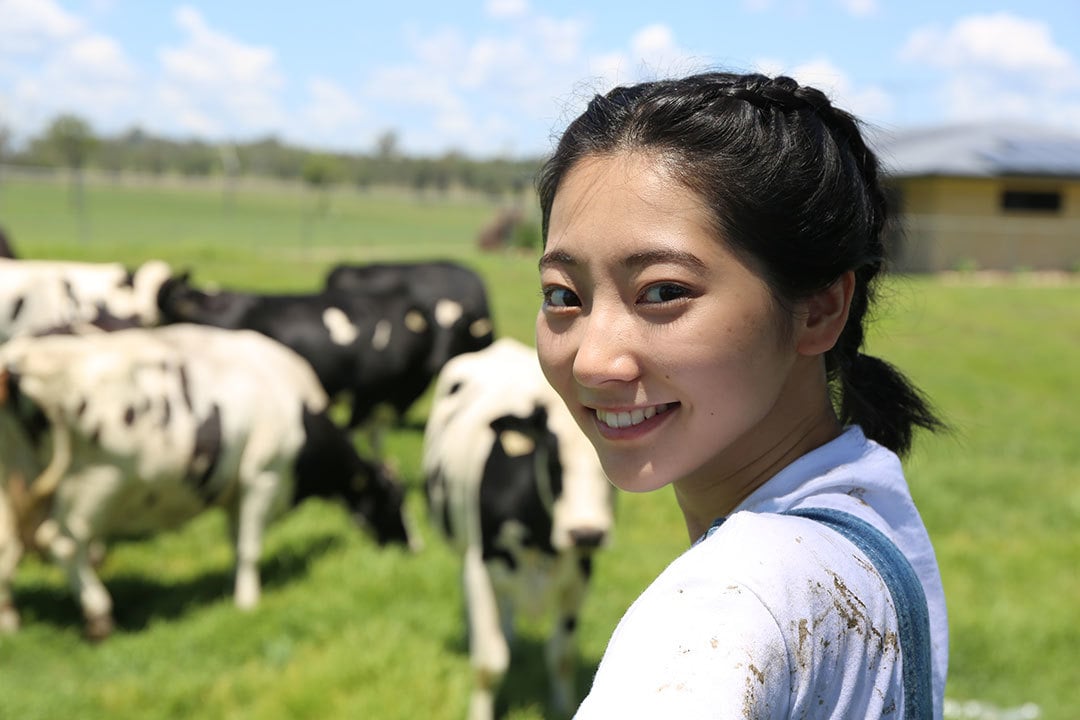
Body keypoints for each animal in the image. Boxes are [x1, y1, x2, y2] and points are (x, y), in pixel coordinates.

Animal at [0, 323, 412, 639]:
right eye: (394, 501)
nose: (414, 547)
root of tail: (22, 358)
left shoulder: (236, 491)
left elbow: (236, 541)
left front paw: (233, 586)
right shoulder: (263, 477)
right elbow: (250, 547)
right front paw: (248, 602)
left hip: (14, 481)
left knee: (9, 546)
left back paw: (10, 621)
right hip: (95, 483)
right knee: (63, 544)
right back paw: (99, 615)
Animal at [421, 338, 617, 720]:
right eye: (553, 459)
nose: (586, 533)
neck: (542, 543)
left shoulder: (580, 574)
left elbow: (561, 656)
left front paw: (562, 706)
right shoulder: (481, 568)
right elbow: (489, 664)